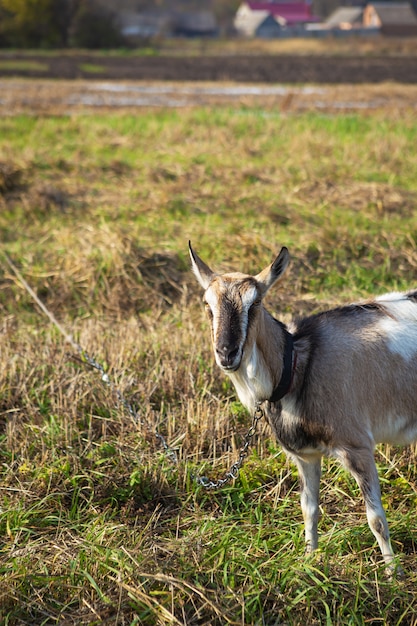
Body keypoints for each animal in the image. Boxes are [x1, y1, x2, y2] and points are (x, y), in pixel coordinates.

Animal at [189, 241, 416, 572]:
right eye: (208, 305)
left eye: (255, 304)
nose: (226, 353)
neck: (299, 364)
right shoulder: (305, 455)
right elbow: (309, 508)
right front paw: (309, 559)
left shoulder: (357, 446)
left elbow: (375, 518)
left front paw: (391, 572)